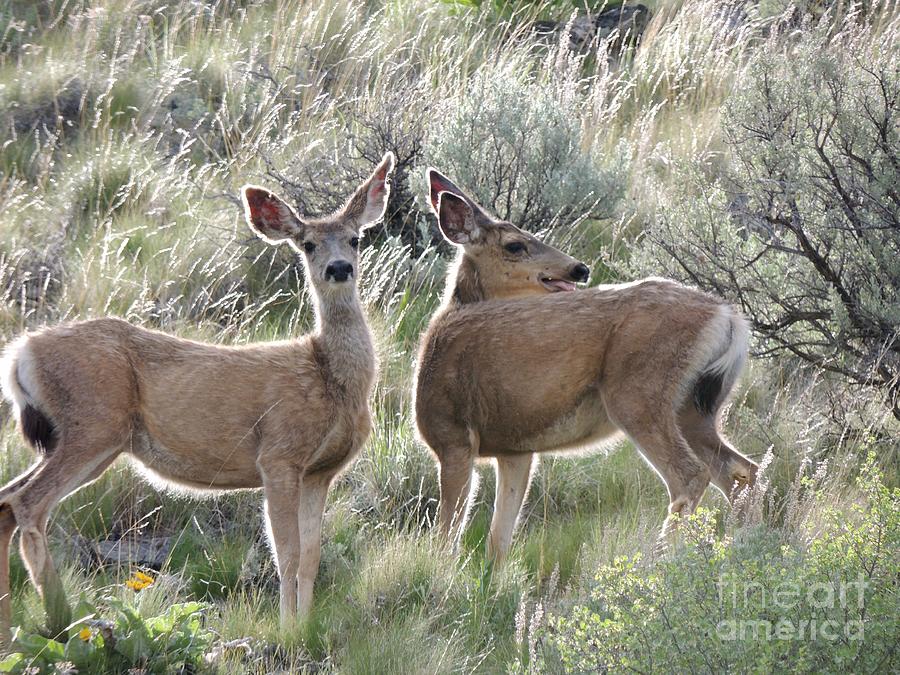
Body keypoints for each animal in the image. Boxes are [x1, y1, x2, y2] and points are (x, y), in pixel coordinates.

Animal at [0, 152, 394, 644]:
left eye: (356, 238)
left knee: (6, 501)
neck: (331, 380)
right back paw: (62, 619)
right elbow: (285, 553)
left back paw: (12, 624)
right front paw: (286, 632)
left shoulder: (321, 471)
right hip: (93, 423)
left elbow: (312, 555)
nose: (339, 268)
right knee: (27, 504)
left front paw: (303, 626)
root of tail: (21, 353)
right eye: (307, 244)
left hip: (89, 441)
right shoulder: (279, 454)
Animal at [414, 170, 760, 564]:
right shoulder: (515, 449)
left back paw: (662, 563)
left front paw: (439, 572)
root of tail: (729, 316)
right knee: (741, 470)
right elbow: (499, 540)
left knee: (691, 475)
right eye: (515, 245)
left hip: (637, 394)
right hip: (694, 409)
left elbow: (447, 535)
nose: (580, 269)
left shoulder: (451, 434)